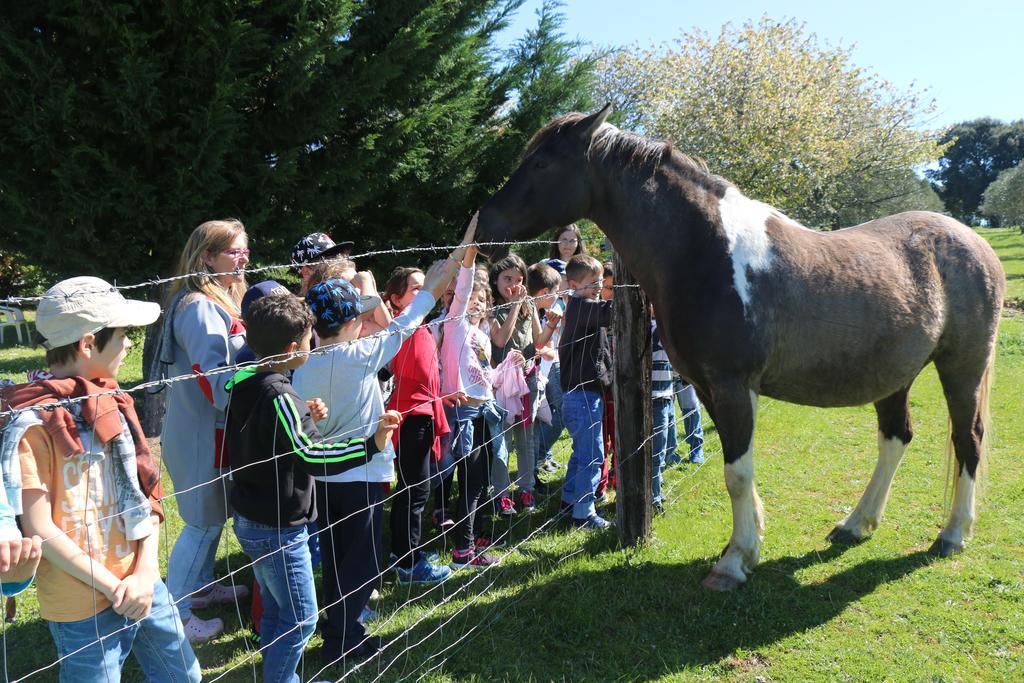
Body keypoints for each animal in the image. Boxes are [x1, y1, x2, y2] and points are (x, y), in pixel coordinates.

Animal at [475, 104, 1003, 589]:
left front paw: (733, 562)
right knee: (896, 439)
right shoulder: (710, 387)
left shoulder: (732, 387)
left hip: (962, 368)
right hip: (895, 374)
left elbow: (738, 474)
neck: (703, 251)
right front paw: (745, 547)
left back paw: (953, 534)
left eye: (543, 162)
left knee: (968, 438)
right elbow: (737, 471)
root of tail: (973, 242)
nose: (483, 226)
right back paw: (856, 524)